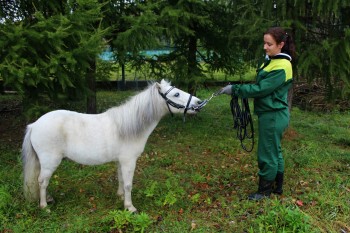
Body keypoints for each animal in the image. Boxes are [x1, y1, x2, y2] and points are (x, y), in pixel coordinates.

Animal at [21, 80, 204, 213]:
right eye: (176, 93)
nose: (199, 103)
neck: (129, 127)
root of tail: (34, 125)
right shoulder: (129, 161)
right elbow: (129, 183)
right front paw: (130, 207)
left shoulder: (120, 161)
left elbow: (121, 179)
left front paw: (120, 197)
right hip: (50, 161)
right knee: (42, 181)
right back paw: (44, 206)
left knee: (42, 181)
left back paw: (48, 199)